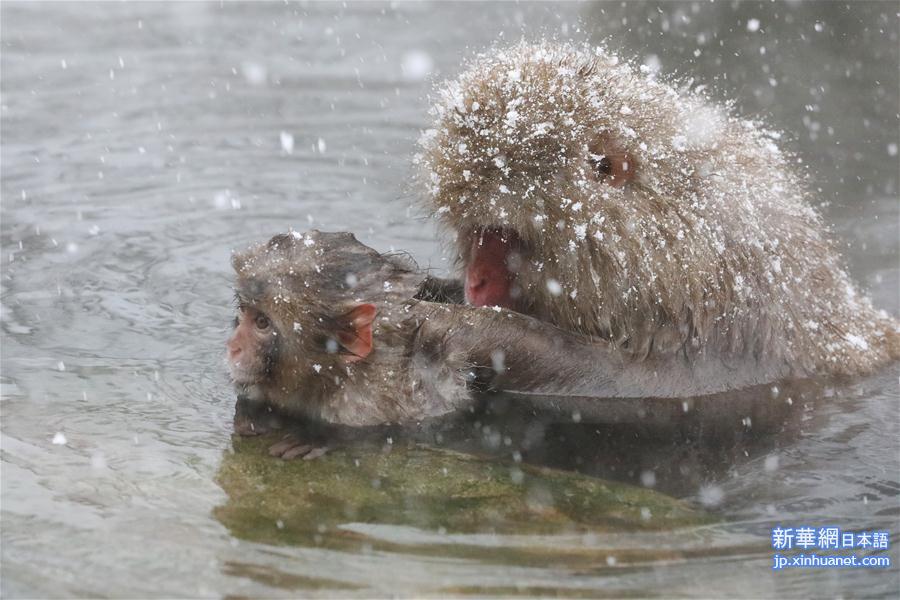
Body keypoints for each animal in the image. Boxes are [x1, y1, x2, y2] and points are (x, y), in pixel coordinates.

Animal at [418, 41, 896, 380]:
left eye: (505, 235)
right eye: (475, 233)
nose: (475, 281)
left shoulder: (718, 321)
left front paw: (468, 329)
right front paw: (433, 289)